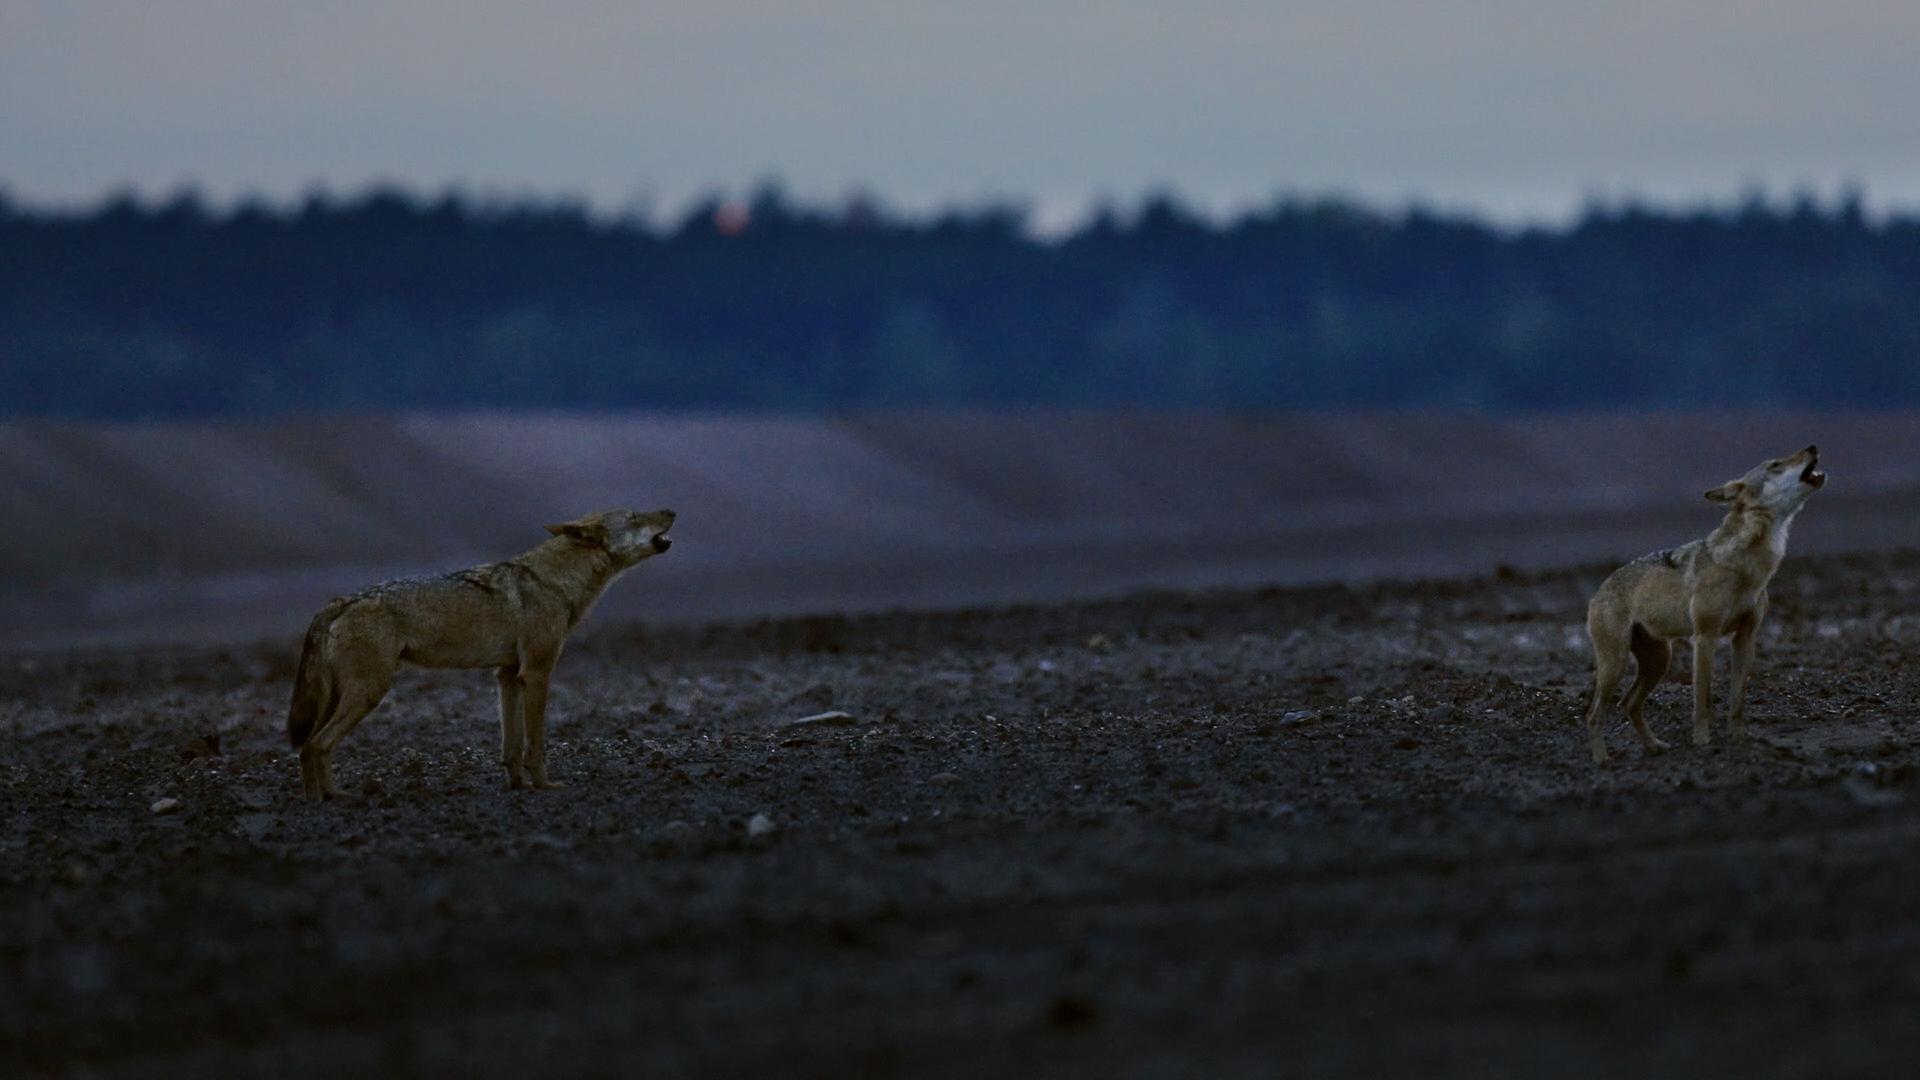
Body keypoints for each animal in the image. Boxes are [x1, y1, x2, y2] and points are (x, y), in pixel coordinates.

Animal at [284, 507, 675, 799]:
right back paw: (332, 799)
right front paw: (544, 785)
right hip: (368, 693)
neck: (557, 583)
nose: (671, 510)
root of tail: (337, 602)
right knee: (318, 744)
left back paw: (318, 799)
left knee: (307, 747)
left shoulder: (508, 675)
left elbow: (511, 745)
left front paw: (517, 786)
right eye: (635, 516)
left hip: (341, 696)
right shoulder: (537, 673)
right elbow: (535, 743)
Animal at [1582, 445, 1820, 764]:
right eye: (1775, 465)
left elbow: (1737, 701)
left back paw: (1654, 746)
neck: (1749, 566)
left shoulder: (1746, 637)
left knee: (1628, 703)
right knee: (1594, 714)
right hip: (1617, 664)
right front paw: (1703, 741)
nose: (1812, 447)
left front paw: (1739, 739)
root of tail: (1600, 588)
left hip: (1659, 661)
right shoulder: (1705, 637)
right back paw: (1601, 759)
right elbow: (1703, 700)